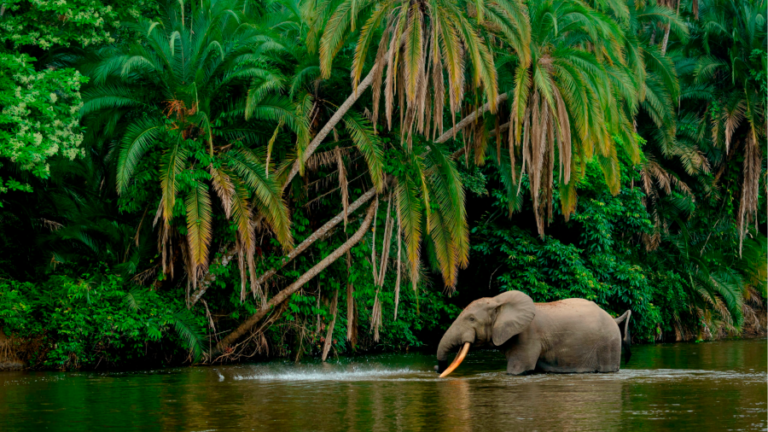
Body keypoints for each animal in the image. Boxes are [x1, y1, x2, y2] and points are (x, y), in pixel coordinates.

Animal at [436, 290, 632, 378]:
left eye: (471, 319)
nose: (437, 369)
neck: (498, 301)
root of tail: (614, 319)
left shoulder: (527, 336)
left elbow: (517, 370)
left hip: (609, 344)